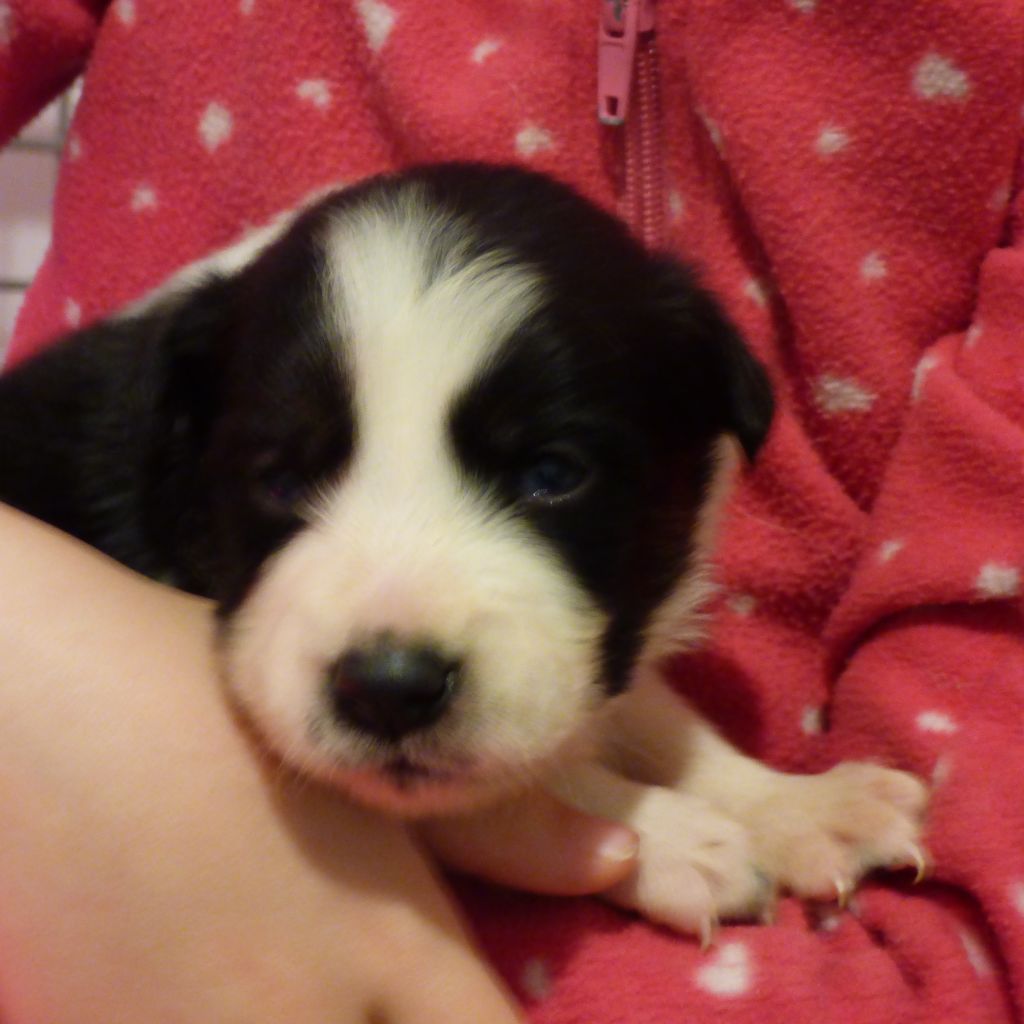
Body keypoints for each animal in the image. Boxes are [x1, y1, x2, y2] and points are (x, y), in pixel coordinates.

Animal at [0, 163, 926, 937]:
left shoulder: (600, 642)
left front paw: (801, 807)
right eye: (280, 479)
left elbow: (654, 716)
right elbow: (514, 785)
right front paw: (676, 840)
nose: (387, 690)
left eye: (551, 474)